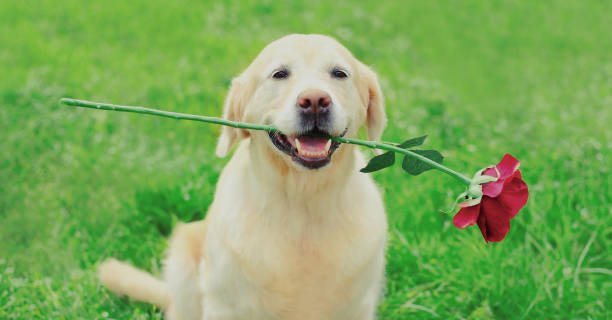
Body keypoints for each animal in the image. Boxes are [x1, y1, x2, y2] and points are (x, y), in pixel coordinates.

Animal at [100, 33, 388, 318]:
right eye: (280, 74)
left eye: (339, 73)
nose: (315, 101)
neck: (302, 204)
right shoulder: (224, 304)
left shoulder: (357, 306)